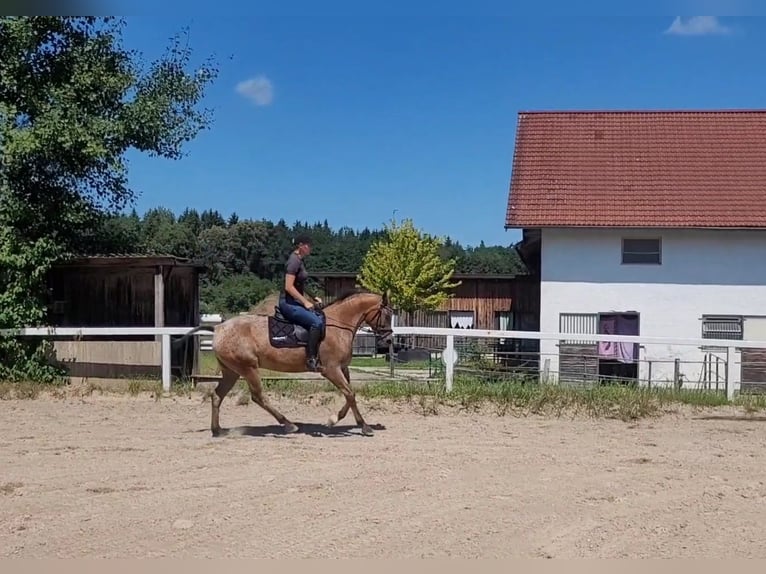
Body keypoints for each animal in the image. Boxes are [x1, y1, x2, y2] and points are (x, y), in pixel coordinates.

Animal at [181, 290, 396, 438]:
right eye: (386, 315)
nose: (388, 340)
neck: (339, 326)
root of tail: (219, 329)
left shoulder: (342, 368)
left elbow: (349, 395)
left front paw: (337, 420)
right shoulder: (331, 370)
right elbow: (350, 394)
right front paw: (363, 426)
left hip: (231, 371)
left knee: (217, 396)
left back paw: (217, 430)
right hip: (248, 368)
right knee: (258, 397)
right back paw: (288, 424)